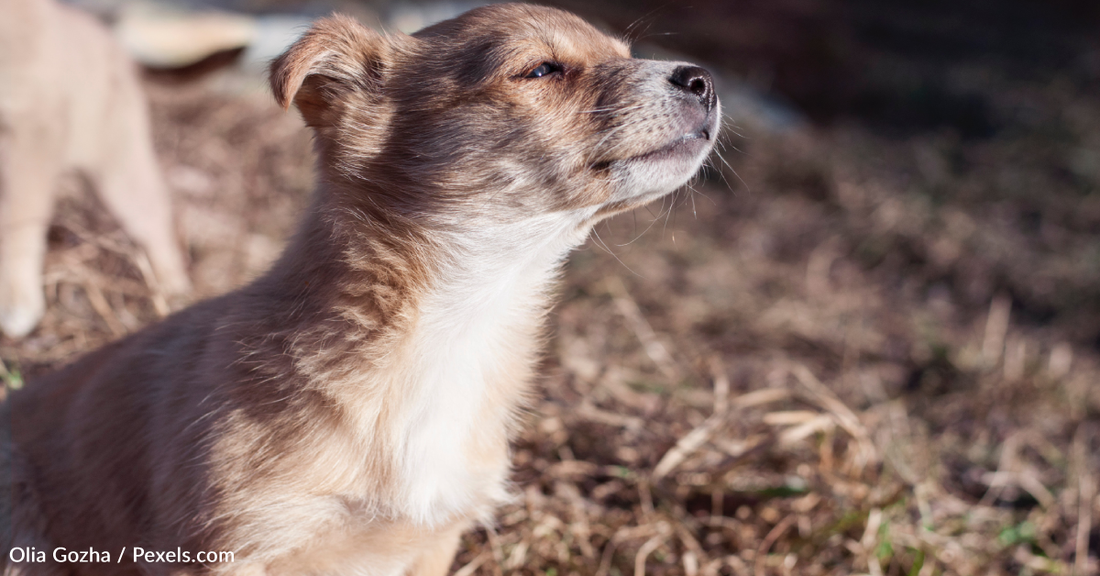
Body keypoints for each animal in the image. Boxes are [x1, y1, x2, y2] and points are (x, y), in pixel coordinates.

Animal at [0, 0, 190, 338]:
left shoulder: (31, 127)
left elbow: (16, 220)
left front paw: (15, 299)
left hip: (118, 167)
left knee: (154, 222)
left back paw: (173, 292)